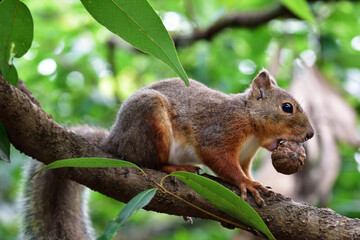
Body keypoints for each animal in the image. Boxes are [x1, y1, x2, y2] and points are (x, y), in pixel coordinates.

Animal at [21, 69, 312, 238]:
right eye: (287, 107)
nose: (310, 135)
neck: (251, 123)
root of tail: (114, 141)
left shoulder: (246, 156)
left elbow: (244, 168)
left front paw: (256, 182)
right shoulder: (219, 130)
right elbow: (220, 161)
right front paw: (247, 184)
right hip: (151, 119)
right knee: (147, 163)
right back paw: (175, 169)